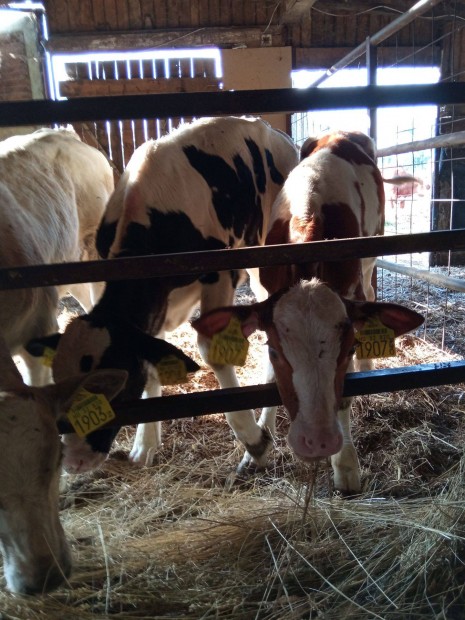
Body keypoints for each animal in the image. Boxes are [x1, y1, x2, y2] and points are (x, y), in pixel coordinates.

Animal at [28, 115, 298, 470]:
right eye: (57, 378)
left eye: (115, 386)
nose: (74, 461)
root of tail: (273, 130)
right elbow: (153, 359)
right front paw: (145, 445)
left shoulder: (221, 274)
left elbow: (211, 349)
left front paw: (255, 441)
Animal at [192, 132, 424, 494]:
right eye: (274, 351)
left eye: (349, 349)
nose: (317, 442)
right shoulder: (265, 296)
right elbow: (270, 375)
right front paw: (258, 446)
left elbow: (342, 398)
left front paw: (346, 467)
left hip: (372, 253)